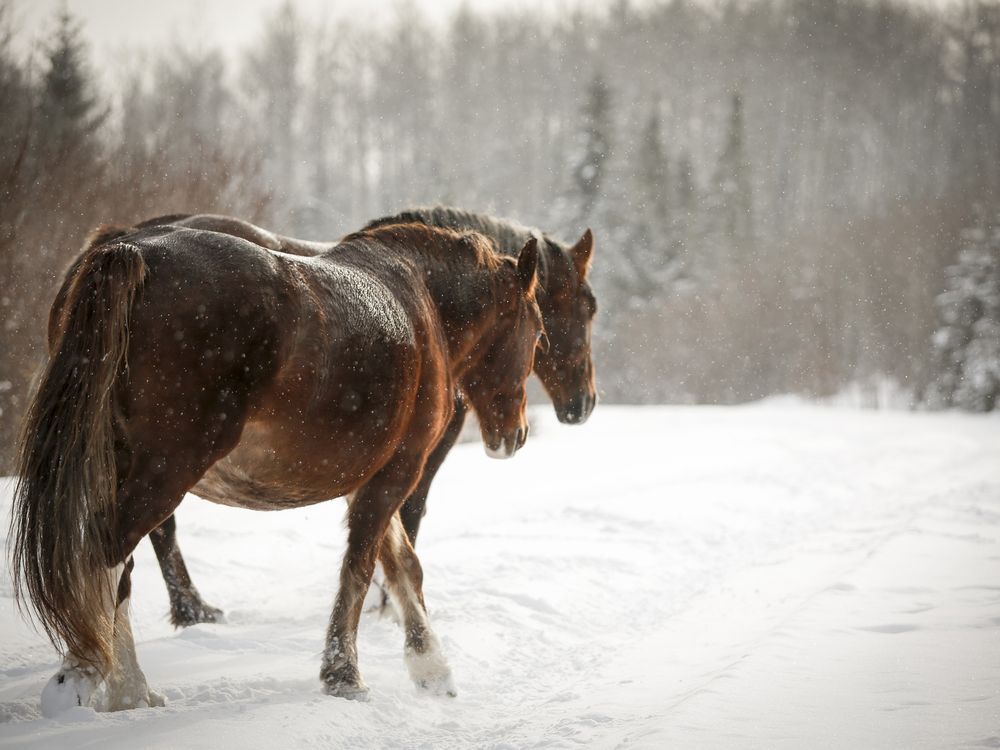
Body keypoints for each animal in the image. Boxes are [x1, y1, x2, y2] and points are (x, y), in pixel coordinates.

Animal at [10, 220, 545, 714]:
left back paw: (127, 686)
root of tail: (130, 252)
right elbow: (359, 568)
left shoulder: (371, 479)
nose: (516, 434)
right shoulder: (397, 473)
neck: (419, 300)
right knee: (107, 555)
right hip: (164, 471)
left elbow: (403, 566)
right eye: (538, 332)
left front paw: (431, 668)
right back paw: (101, 680)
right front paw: (345, 675)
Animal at [133, 208, 598, 627]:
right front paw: (391, 604)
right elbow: (408, 515)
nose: (585, 403)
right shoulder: (418, 457)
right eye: (588, 308)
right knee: (160, 526)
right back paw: (192, 608)